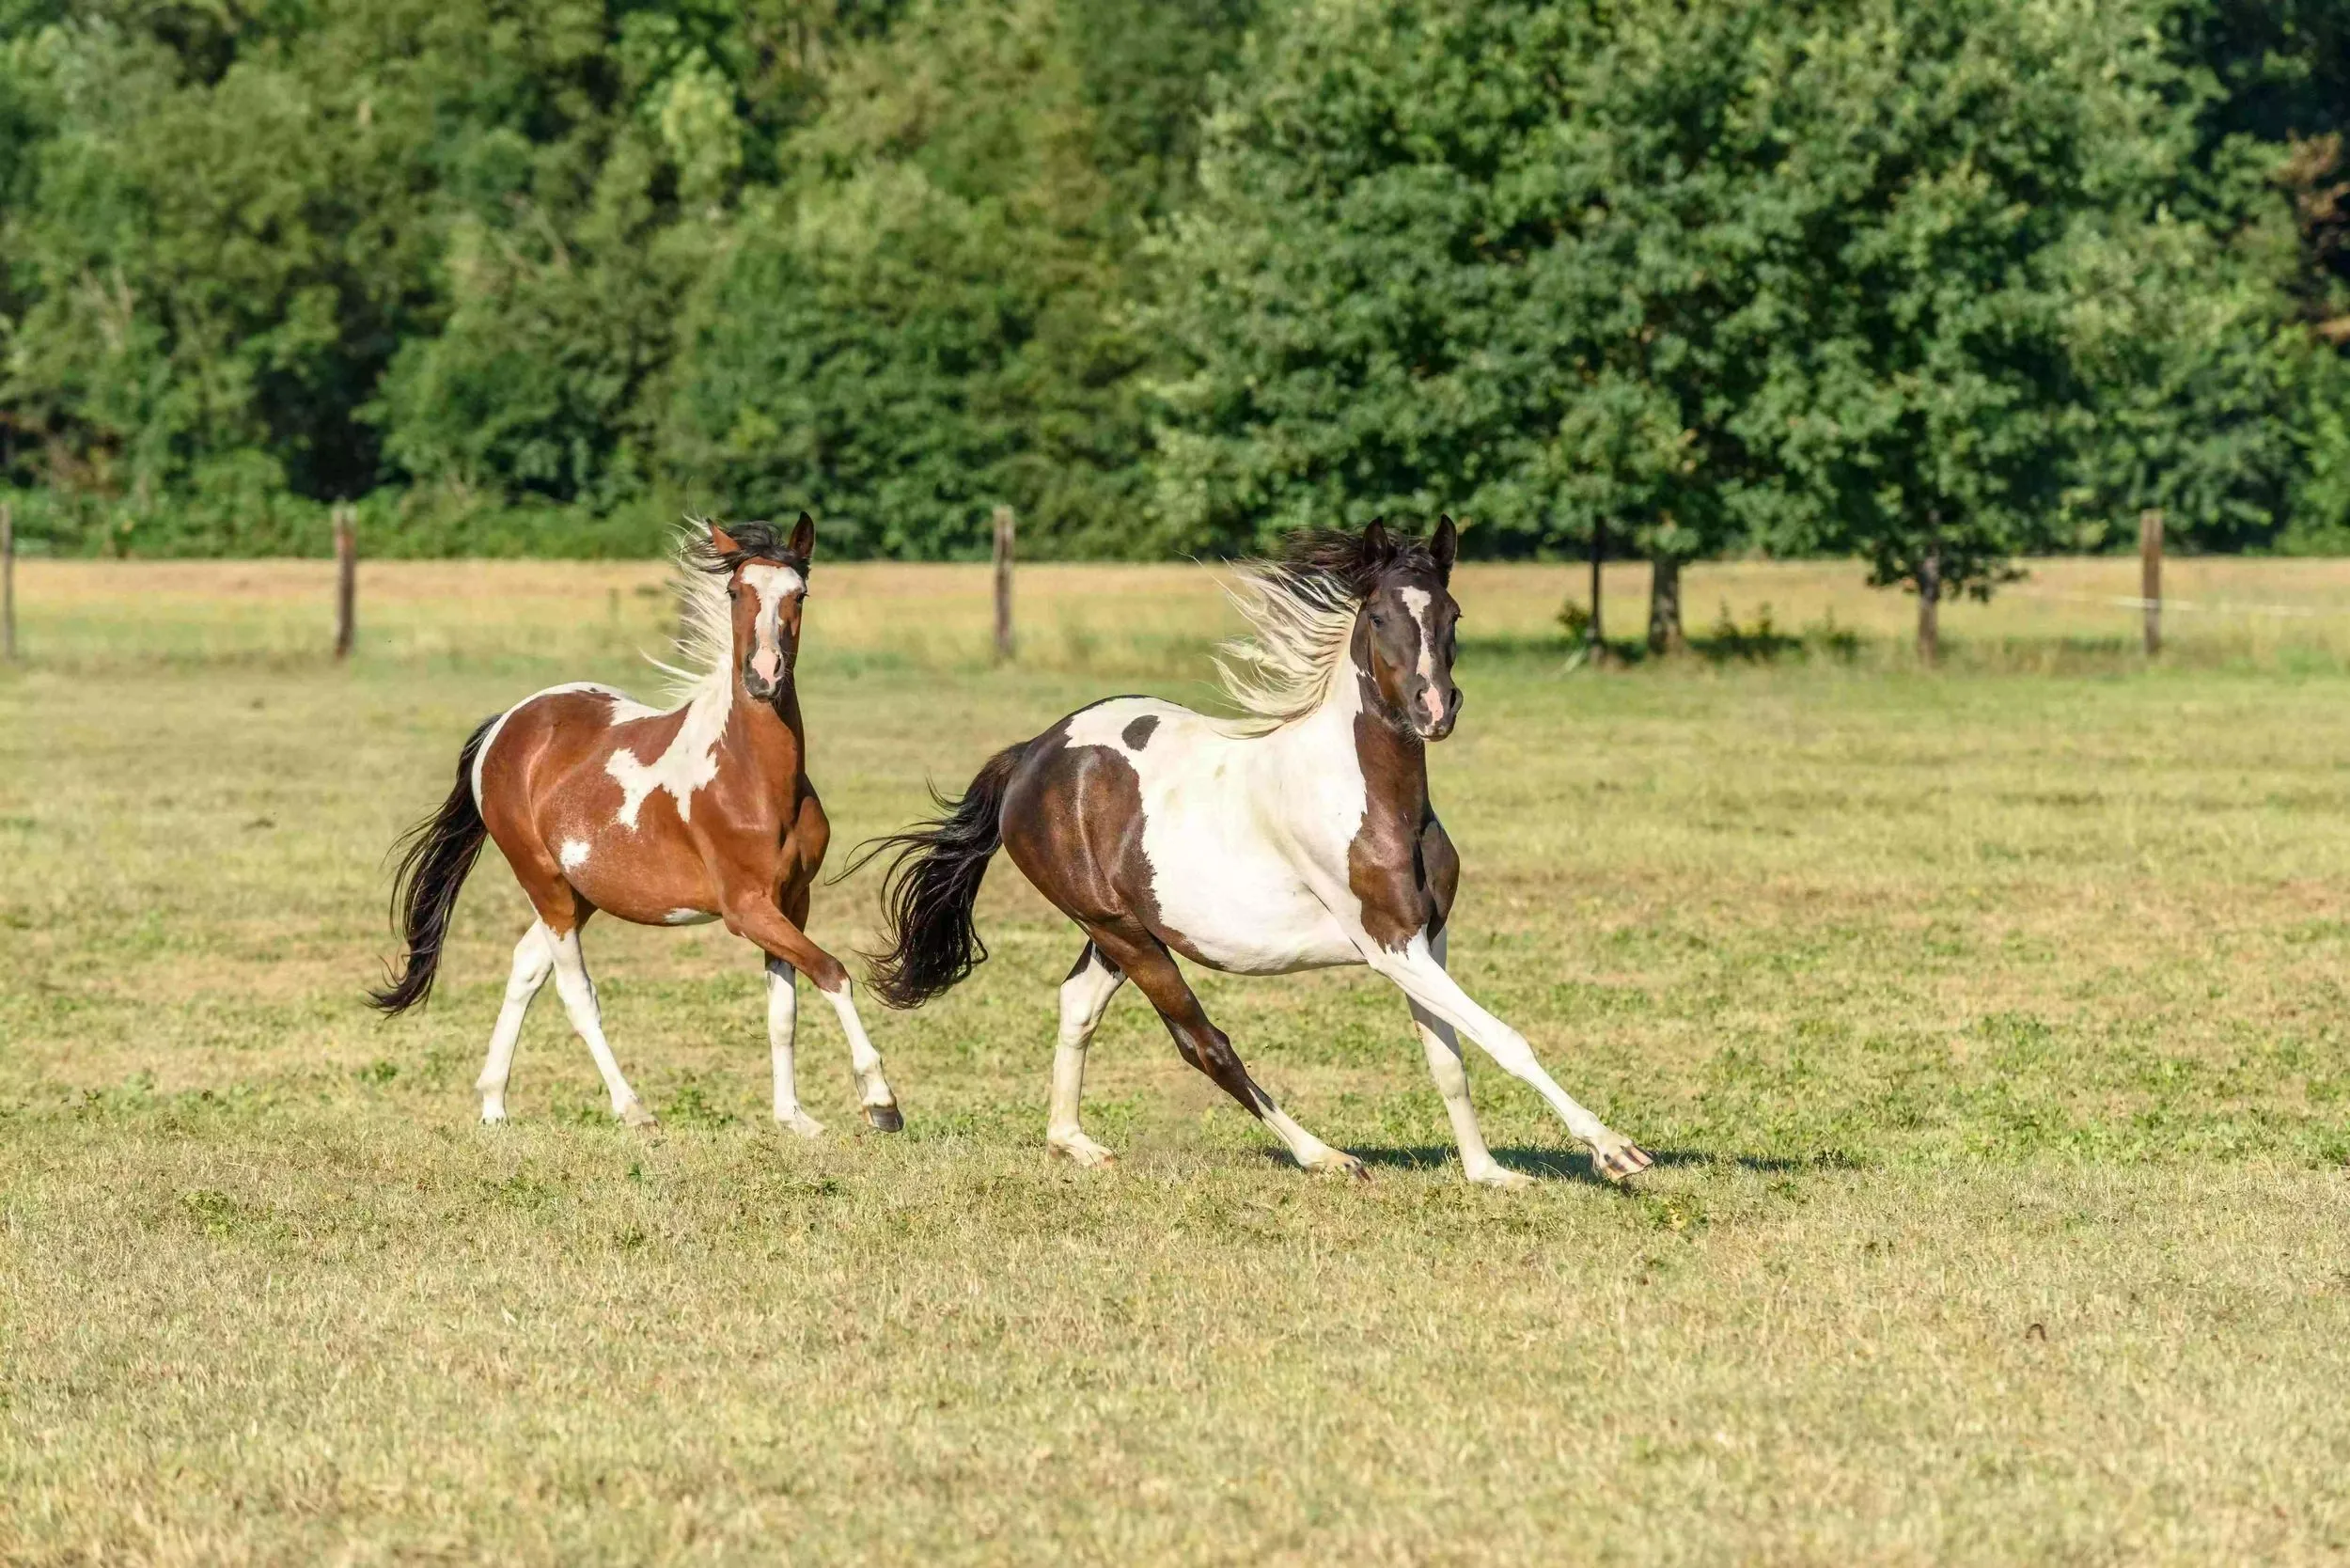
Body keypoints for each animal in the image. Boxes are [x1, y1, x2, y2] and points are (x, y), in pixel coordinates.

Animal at [364, 514, 898, 1142]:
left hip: (582, 892)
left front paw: (795, 1117)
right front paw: (880, 1100)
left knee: (525, 967)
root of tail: (508, 724)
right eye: (734, 592)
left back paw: (494, 1104)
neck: (756, 779)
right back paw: (633, 1109)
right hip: (545, 883)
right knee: (576, 993)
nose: (764, 676)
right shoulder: (746, 909)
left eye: (800, 595)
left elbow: (783, 1012)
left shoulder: (792, 901)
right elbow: (833, 972)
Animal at [860, 522, 1654, 1184]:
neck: (1372, 798)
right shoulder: (1389, 946)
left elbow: (1449, 1058)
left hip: (1121, 931)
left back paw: (1074, 1143)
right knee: (1203, 1043)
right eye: (1379, 617)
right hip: (1123, 933)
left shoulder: (1429, 939)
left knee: (1078, 1005)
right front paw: (1615, 1151)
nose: (1433, 709)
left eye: (1451, 615)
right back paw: (1326, 1157)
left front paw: (1490, 1174)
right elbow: (1504, 1038)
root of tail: (1033, 754)